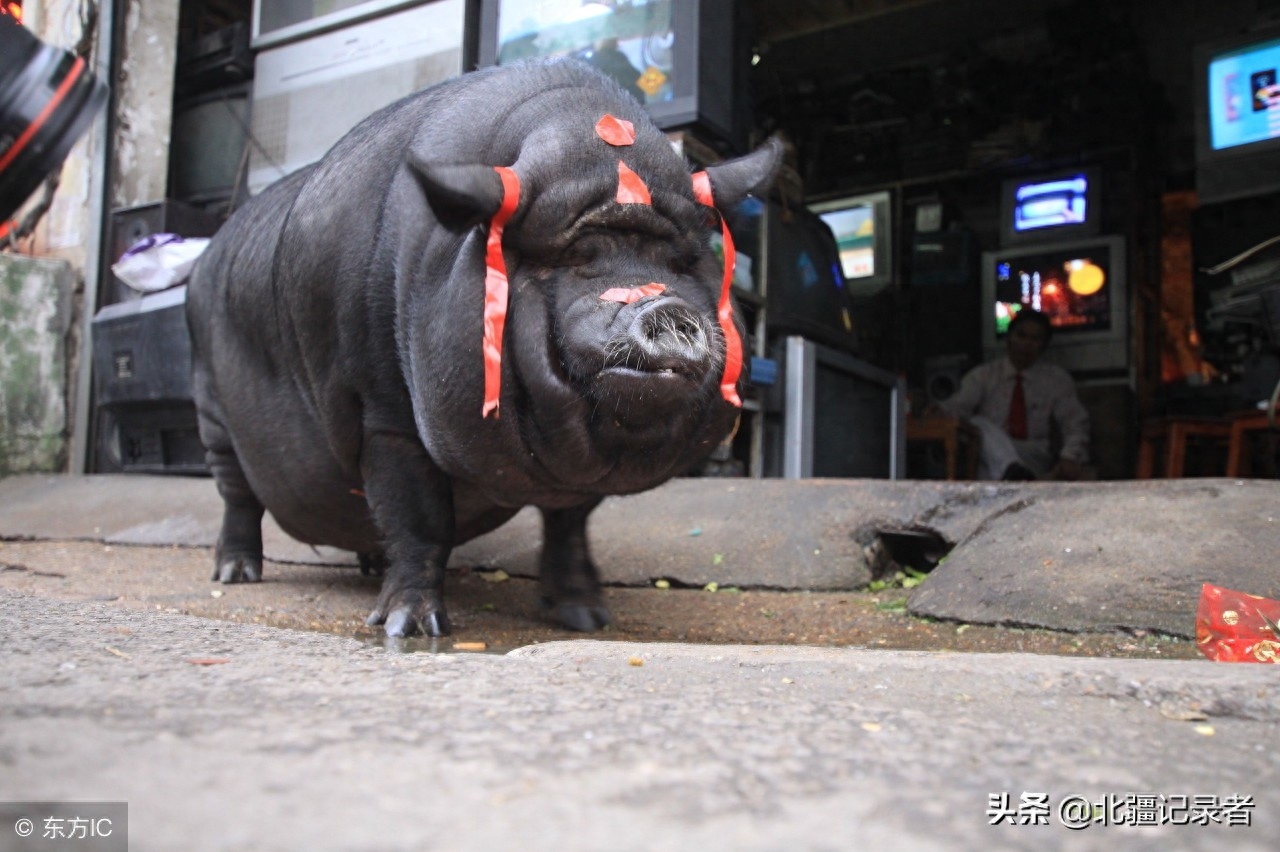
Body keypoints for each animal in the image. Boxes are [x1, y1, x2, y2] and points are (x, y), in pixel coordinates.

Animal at [183, 58, 778, 629]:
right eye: (578, 254)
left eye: (681, 260)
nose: (667, 309)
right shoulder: (383, 413)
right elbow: (419, 517)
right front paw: (408, 628)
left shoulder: (577, 474)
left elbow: (569, 525)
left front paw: (587, 619)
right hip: (211, 413)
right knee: (236, 495)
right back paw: (236, 574)